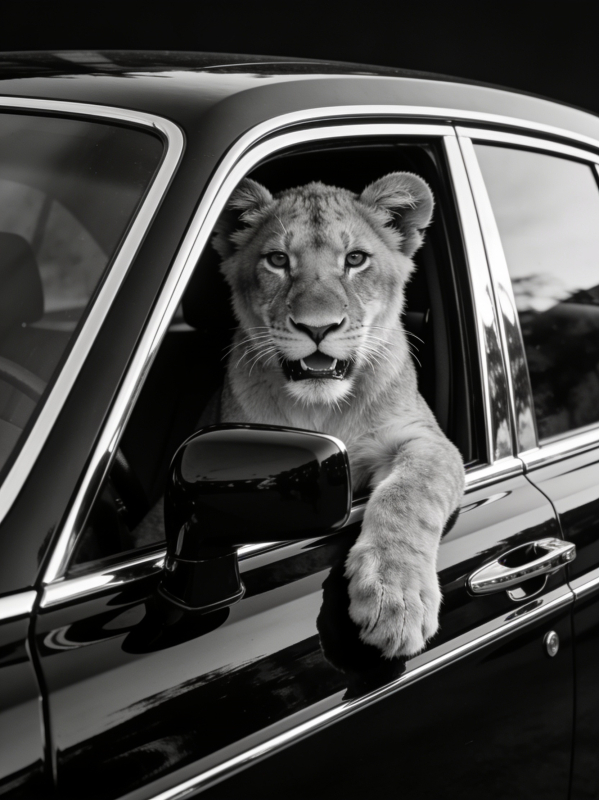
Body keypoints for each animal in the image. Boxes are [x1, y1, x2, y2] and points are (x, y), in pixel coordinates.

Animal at [212, 172, 465, 659]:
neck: (320, 407)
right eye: (277, 260)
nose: (317, 328)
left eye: (355, 259)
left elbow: (408, 495)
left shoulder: (426, 439)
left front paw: (396, 598)